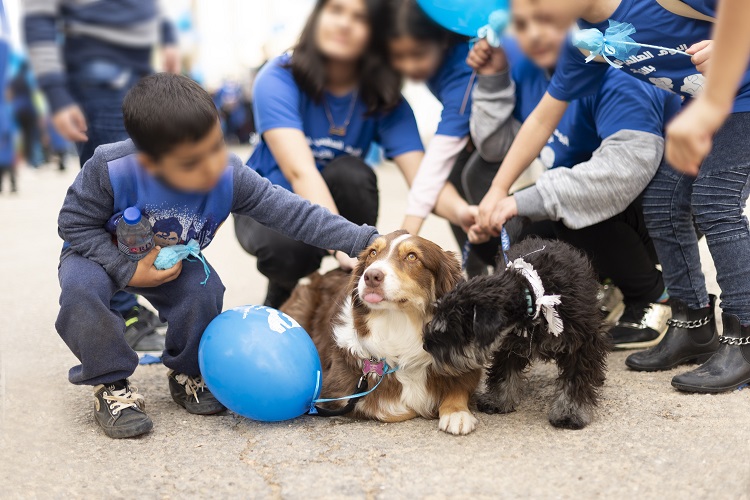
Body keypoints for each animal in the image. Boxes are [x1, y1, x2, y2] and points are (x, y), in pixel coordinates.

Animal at [282, 230, 482, 434]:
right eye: (373, 253)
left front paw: (456, 413)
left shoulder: (465, 363)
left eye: (412, 256)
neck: (399, 324)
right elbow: (391, 408)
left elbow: (459, 386)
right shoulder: (338, 393)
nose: (371, 276)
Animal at [424, 238, 612, 430]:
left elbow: (575, 380)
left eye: (453, 329)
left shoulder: (580, 346)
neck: (534, 296)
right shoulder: (508, 344)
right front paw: (497, 400)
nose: (425, 344)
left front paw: (570, 412)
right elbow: (504, 373)